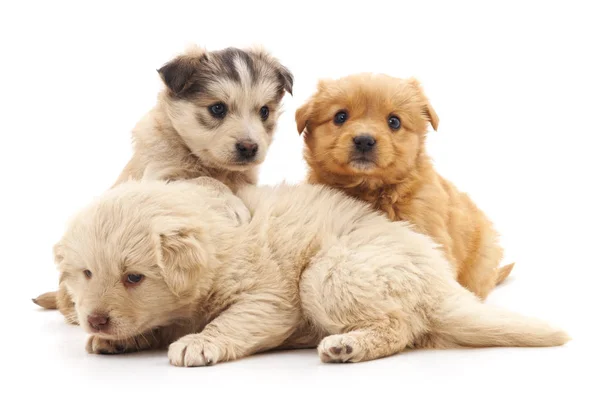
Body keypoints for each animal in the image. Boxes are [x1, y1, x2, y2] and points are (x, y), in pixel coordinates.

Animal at [32, 46, 292, 320]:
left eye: (264, 111)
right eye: (217, 109)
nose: (249, 147)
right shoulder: (160, 176)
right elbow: (204, 180)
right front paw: (232, 205)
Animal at [55, 180, 568, 364]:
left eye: (134, 277)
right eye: (86, 274)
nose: (95, 319)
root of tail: (441, 281)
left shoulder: (268, 299)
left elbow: (229, 322)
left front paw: (199, 343)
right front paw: (119, 339)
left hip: (328, 273)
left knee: (401, 327)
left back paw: (345, 346)